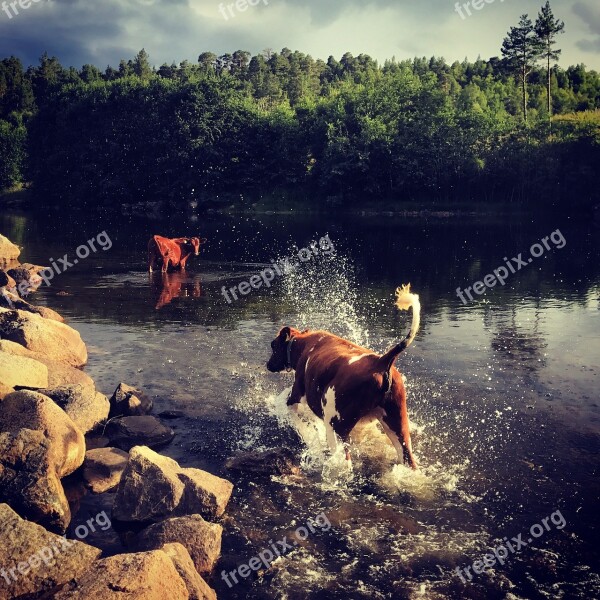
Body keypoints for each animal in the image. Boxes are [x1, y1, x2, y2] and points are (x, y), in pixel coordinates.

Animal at [268, 284, 422, 468]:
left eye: (273, 345)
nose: (268, 365)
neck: (304, 343)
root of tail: (381, 361)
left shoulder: (297, 392)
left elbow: (292, 413)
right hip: (398, 425)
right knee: (409, 459)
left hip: (335, 426)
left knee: (344, 462)